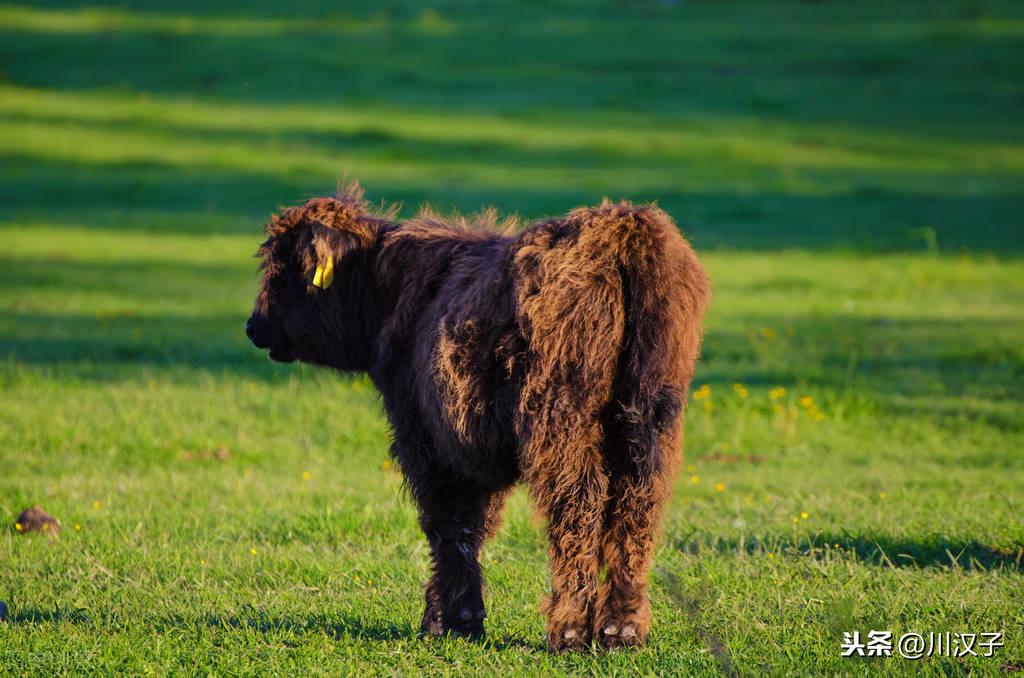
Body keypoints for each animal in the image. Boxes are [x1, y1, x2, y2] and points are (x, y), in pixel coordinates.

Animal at [248, 184, 712, 655]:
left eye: (286, 268)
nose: (254, 326)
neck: (394, 290)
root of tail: (625, 229)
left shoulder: (426, 442)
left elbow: (448, 526)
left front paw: (447, 621)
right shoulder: (474, 451)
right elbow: (473, 526)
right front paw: (460, 617)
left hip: (561, 420)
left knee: (578, 503)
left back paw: (569, 630)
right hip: (650, 419)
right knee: (637, 503)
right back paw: (622, 629)